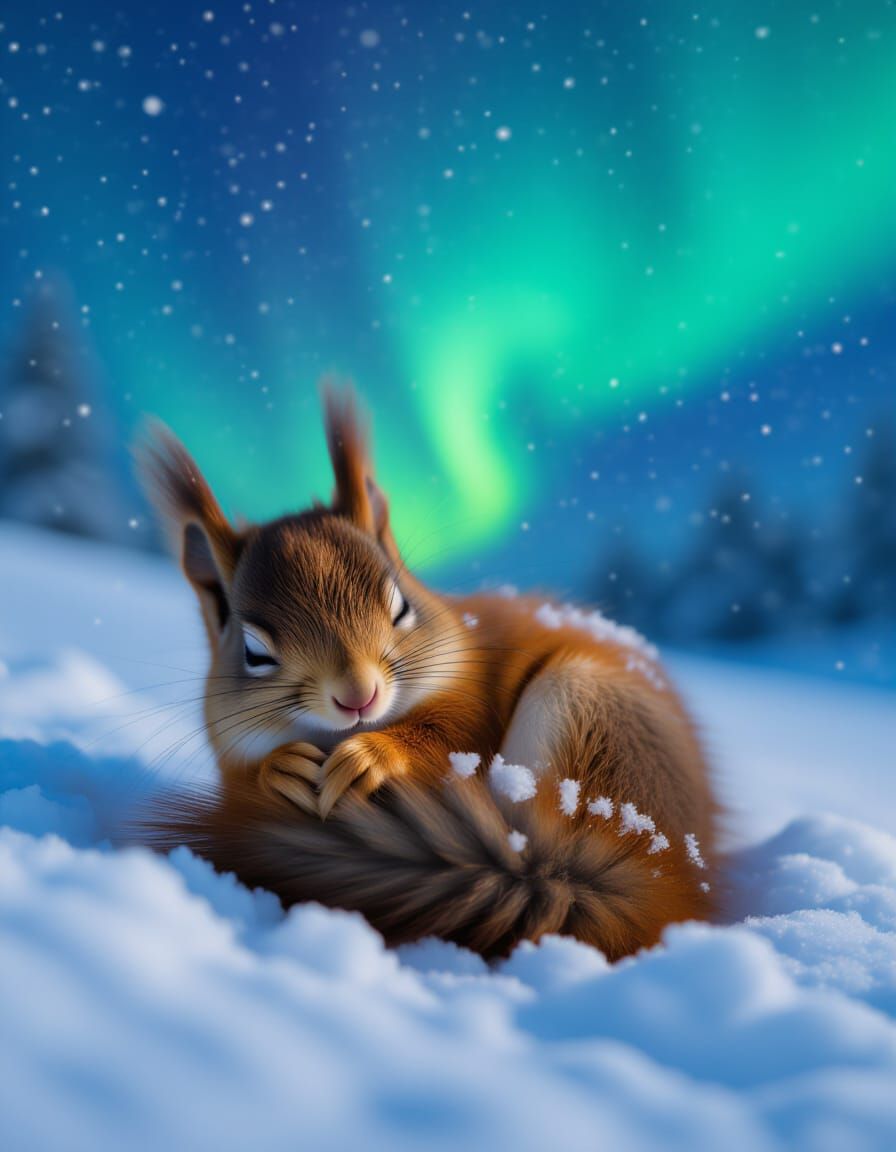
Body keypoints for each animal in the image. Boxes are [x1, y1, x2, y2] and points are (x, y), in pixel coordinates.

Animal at [137, 389, 718, 961]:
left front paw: (373, 757)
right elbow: (244, 777)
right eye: (254, 651)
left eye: (400, 606)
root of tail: (669, 879)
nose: (358, 696)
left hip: (587, 713)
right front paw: (281, 769)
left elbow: (452, 737)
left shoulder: (472, 699)